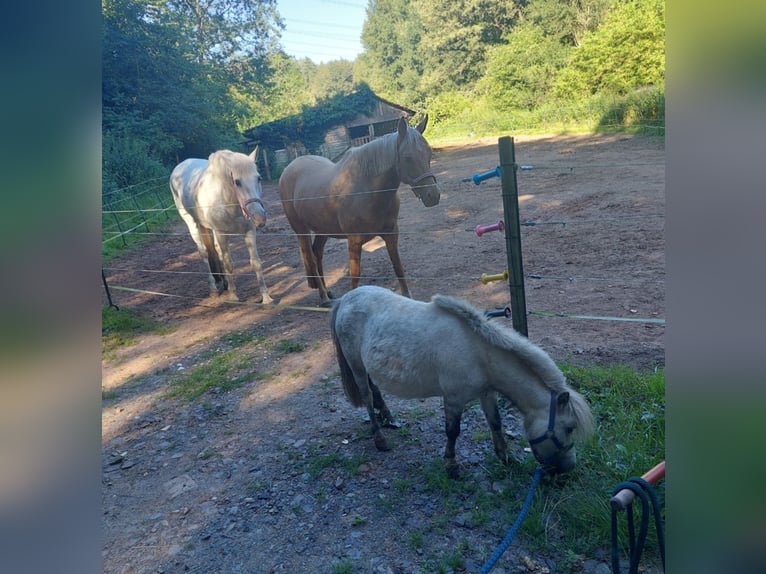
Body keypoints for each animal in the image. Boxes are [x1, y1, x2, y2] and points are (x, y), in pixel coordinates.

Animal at [170, 150, 274, 306]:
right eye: (237, 182)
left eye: (259, 178)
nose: (260, 218)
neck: (229, 201)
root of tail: (180, 166)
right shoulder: (221, 234)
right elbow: (228, 263)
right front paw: (233, 296)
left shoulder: (249, 232)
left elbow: (255, 263)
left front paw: (266, 297)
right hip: (192, 224)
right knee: (204, 254)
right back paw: (213, 289)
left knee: (216, 251)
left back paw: (224, 283)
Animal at [280, 115, 440, 308]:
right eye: (407, 157)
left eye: (428, 153)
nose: (433, 196)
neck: (368, 190)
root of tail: (288, 169)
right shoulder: (354, 241)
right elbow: (355, 276)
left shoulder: (391, 233)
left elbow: (398, 266)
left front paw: (407, 296)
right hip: (301, 230)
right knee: (309, 256)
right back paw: (324, 297)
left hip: (322, 230)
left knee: (317, 253)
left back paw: (327, 292)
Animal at [330, 286, 592, 480]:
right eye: (570, 428)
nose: (568, 468)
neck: (479, 353)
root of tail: (345, 299)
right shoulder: (454, 398)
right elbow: (453, 431)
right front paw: (451, 466)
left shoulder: (487, 393)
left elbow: (495, 423)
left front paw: (506, 457)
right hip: (356, 366)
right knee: (366, 397)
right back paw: (380, 439)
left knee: (375, 390)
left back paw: (389, 417)